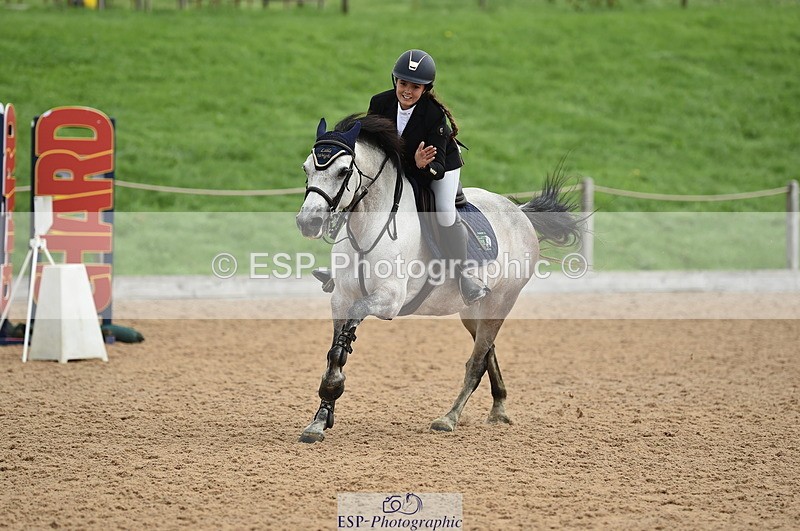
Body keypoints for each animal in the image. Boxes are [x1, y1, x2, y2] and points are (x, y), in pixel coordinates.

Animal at [295, 113, 580, 443]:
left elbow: (344, 342)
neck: (367, 228)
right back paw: (498, 409)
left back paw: (449, 418)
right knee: (488, 352)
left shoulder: (388, 300)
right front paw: (319, 420)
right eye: (306, 168)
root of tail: (519, 211)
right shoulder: (341, 298)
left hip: (500, 302)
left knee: (476, 362)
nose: (308, 222)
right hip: (472, 311)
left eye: (343, 171)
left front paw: (332, 392)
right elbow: (335, 352)